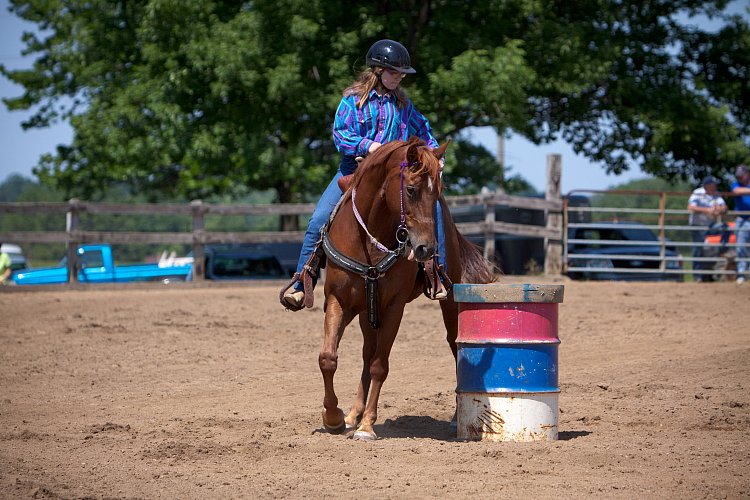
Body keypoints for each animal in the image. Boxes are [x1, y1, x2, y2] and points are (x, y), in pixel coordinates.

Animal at [320, 135, 496, 440]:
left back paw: (455, 418)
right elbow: (329, 358)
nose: (426, 248)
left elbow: (380, 365)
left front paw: (367, 426)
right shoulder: (338, 299)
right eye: (411, 190)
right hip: (367, 312)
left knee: (454, 344)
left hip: (449, 301)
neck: (369, 241)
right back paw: (353, 413)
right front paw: (334, 418)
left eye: (437, 192)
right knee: (367, 351)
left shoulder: (394, 306)